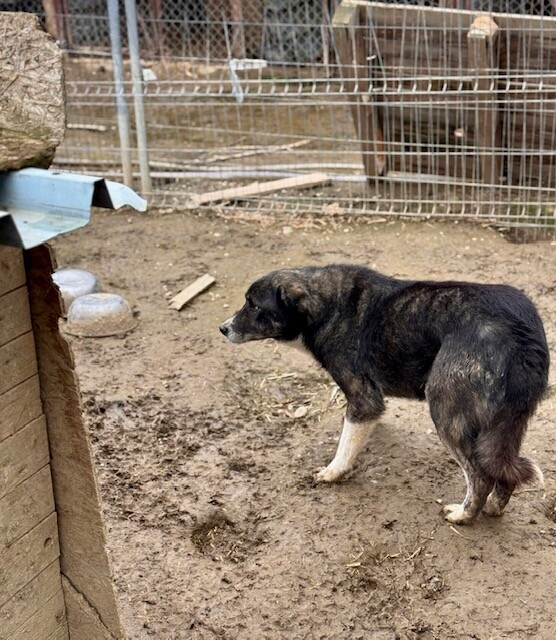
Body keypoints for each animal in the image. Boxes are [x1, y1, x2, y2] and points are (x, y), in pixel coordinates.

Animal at [219, 265, 549, 524]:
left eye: (254, 306)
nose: (222, 328)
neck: (328, 307)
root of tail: (521, 331)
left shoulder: (363, 399)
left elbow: (346, 445)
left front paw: (333, 472)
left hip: (446, 411)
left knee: (480, 475)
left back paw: (464, 515)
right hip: (506, 426)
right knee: (504, 469)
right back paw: (493, 508)